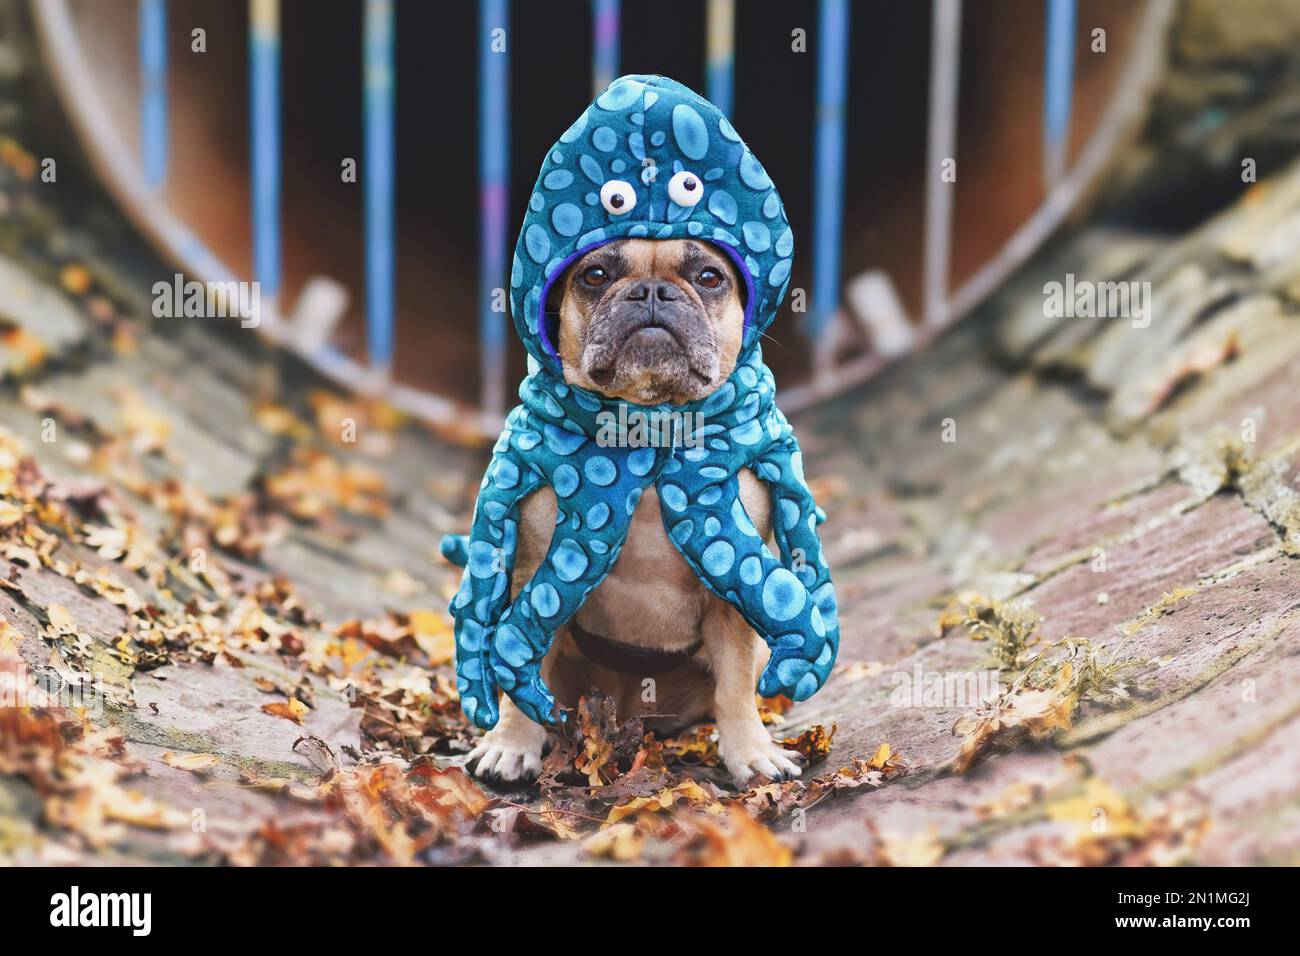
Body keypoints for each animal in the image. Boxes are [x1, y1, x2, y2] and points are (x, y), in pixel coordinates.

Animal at [467, 238, 800, 785]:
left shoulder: (735, 594)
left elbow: (733, 688)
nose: (653, 291)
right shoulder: (533, 580)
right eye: (595, 275)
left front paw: (751, 753)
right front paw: (510, 744)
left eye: (709, 277)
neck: (646, 427)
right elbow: (520, 662)